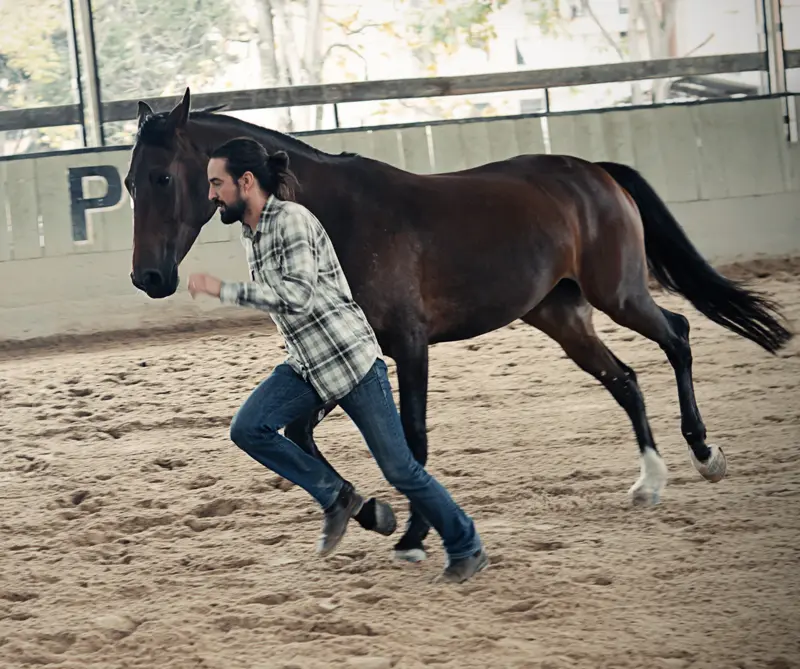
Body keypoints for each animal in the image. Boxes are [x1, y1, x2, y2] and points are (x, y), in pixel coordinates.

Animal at [126, 88, 793, 562]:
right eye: (129, 182)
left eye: (163, 177)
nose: (149, 278)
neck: (341, 215)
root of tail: (595, 172)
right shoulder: (355, 358)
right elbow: (301, 434)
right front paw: (371, 513)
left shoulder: (407, 348)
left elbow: (412, 442)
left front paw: (414, 536)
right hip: (560, 314)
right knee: (624, 378)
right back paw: (650, 482)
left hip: (619, 294)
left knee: (677, 335)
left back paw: (705, 454)